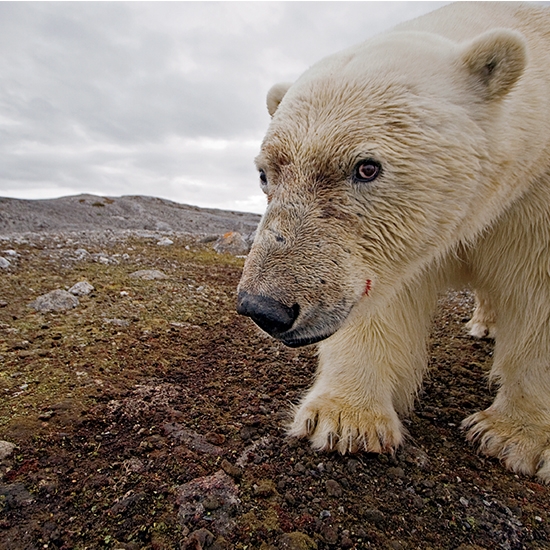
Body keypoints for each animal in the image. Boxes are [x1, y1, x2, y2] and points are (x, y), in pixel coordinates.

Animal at [237, 1, 550, 484]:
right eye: (264, 173)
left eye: (366, 167)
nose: (264, 307)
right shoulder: (394, 250)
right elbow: (384, 300)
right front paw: (344, 419)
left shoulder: (532, 198)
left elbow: (539, 295)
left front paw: (514, 437)